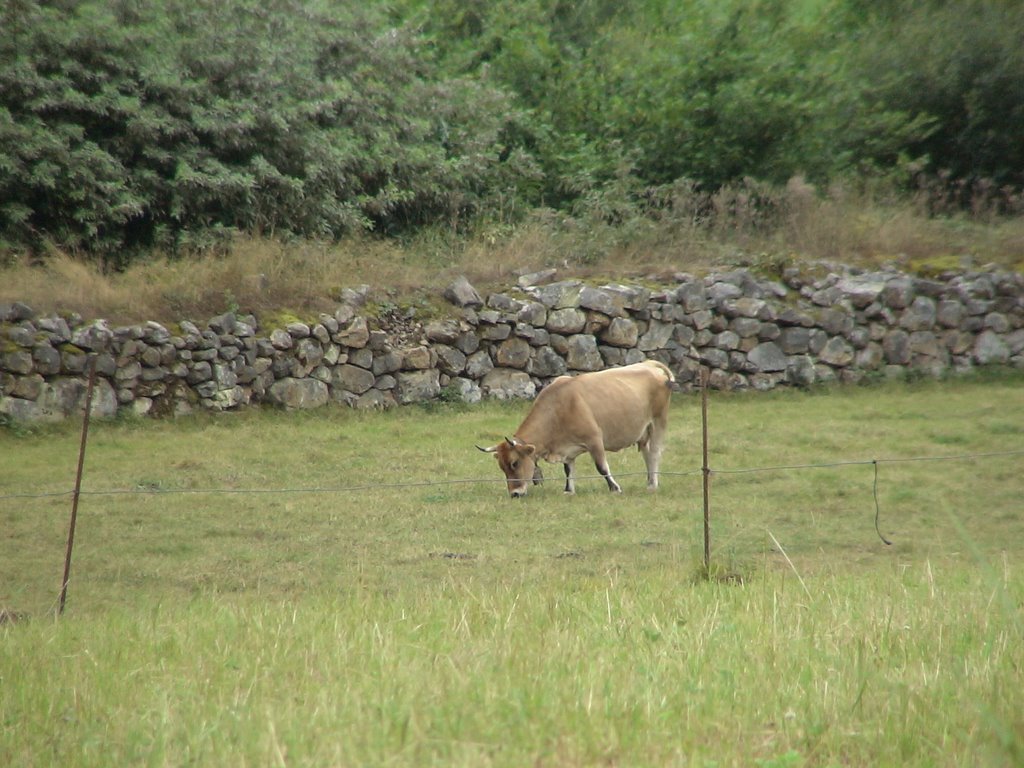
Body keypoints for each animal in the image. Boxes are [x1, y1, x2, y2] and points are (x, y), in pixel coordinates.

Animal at [477, 360, 675, 499]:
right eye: (502, 467)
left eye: (515, 463)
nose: (515, 494)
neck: (559, 405)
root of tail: (649, 364)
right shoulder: (567, 448)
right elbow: (568, 469)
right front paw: (569, 490)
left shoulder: (595, 439)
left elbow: (602, 467)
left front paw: (615, 488)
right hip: (643, 432)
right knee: (647, 454)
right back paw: (649, 481)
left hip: (658, 421)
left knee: (654, 453)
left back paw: (653, 484)